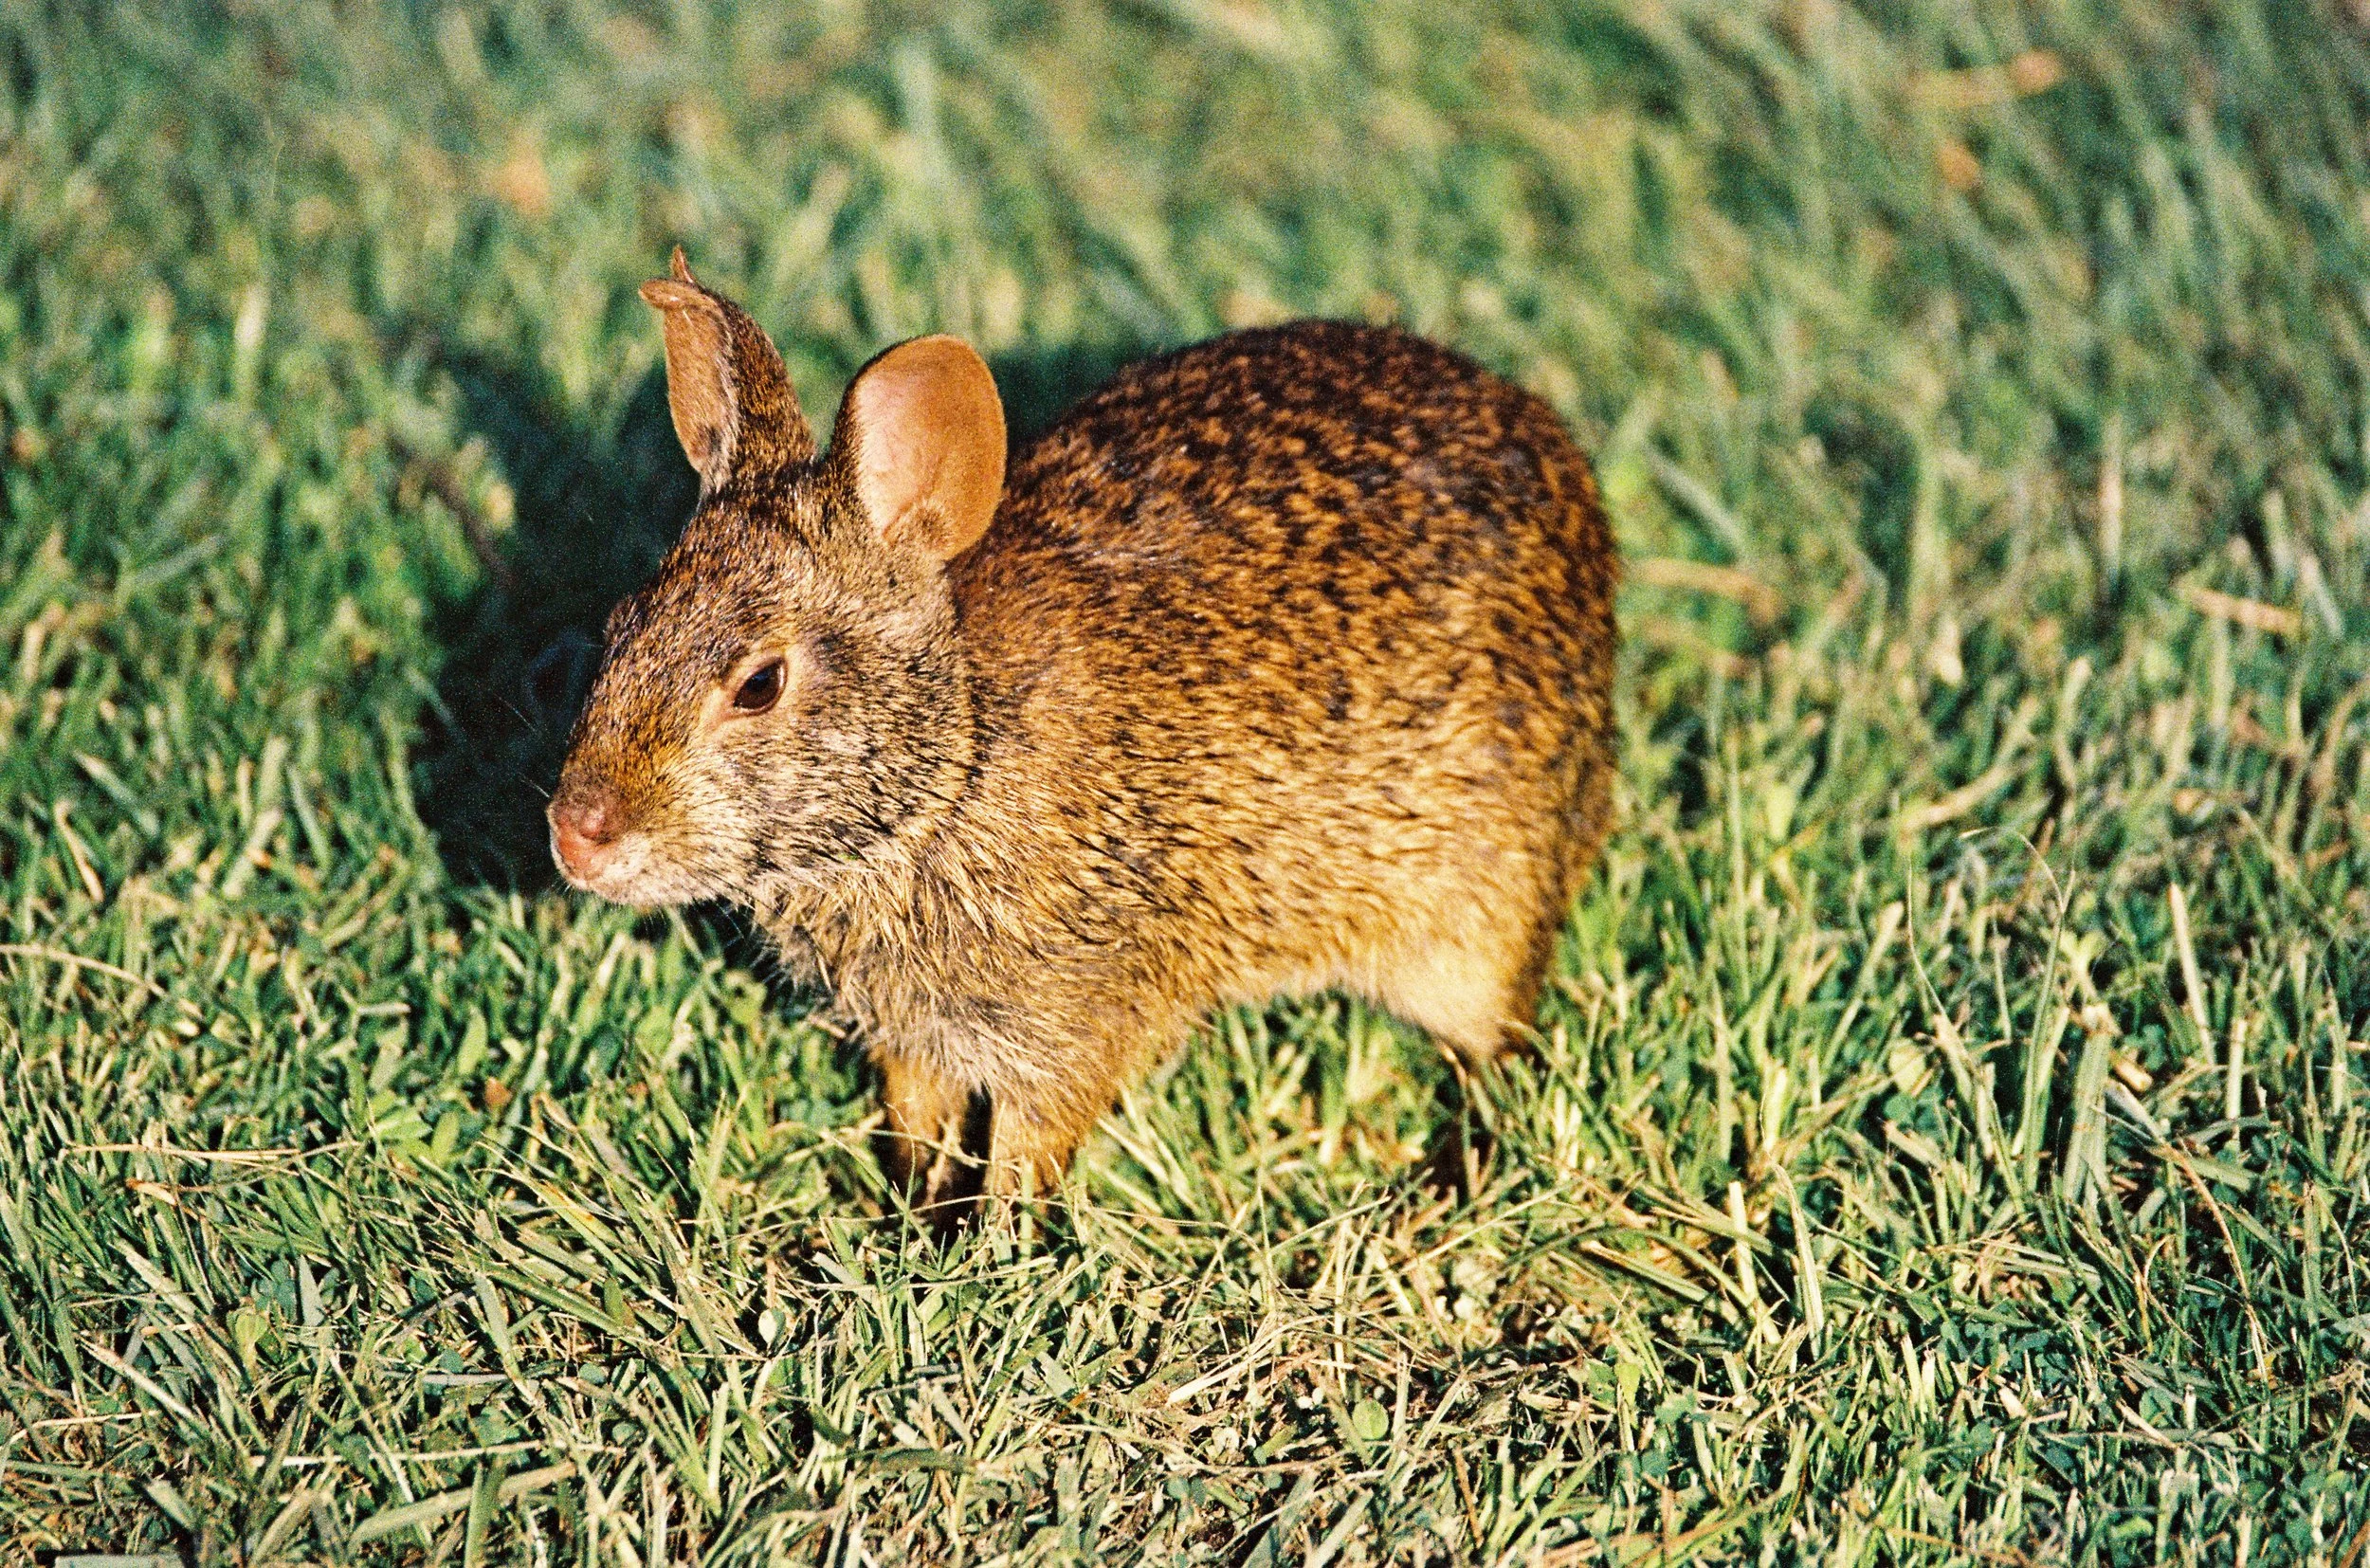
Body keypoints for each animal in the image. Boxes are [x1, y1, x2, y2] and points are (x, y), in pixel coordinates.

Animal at [550, 249, 1618, 1212]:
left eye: (761, 685)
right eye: (623, 622)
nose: (576, 834)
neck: (955, 768)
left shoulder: (1071, 1028)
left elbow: (1028, 1149)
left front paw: (990, 1244)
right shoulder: (916, 1038)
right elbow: (919, 1120)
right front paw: (910, 1216)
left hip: (1474, 918)